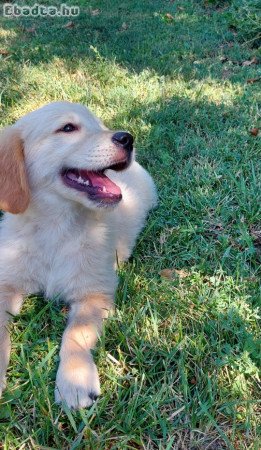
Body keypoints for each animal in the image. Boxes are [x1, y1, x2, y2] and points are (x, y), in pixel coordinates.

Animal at [0, 101, 155, 408]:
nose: (127, 138)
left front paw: (74, 381)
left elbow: (75, 334)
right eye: (68, 128)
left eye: (100, 125)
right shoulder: (5, 284)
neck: (55, 228)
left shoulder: (94, 292)